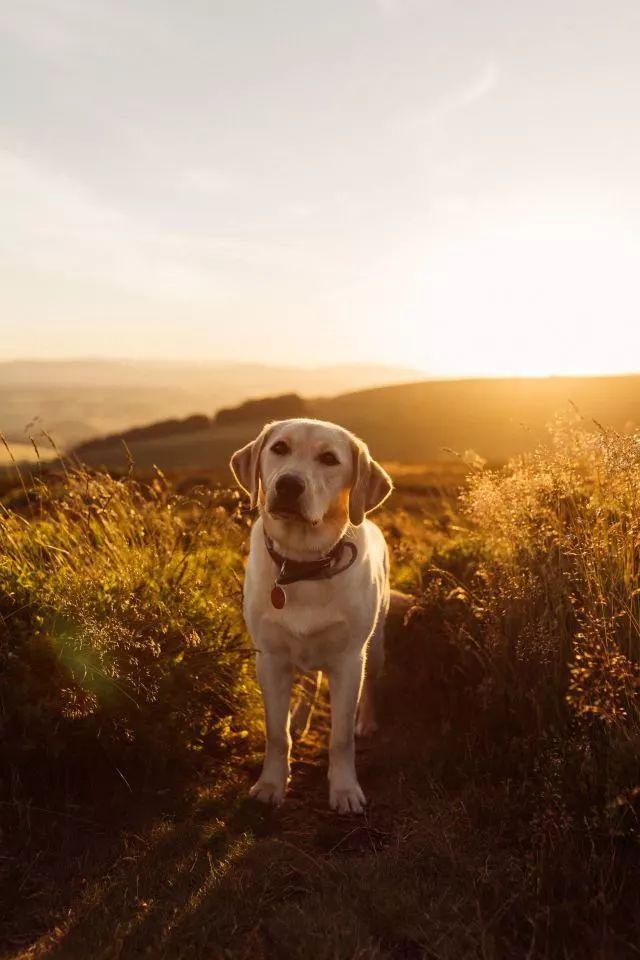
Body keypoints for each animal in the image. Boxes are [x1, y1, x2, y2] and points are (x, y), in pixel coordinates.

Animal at [228, 416, 392, 812]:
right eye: (279, 448)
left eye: (329, 459)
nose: (288, 484)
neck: (302, 564)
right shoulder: (270, 658)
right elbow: (276, 733)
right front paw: (271, 784)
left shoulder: (349, 660)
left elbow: (341, 737)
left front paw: (345, 790)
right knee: (309, 684)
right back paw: (300, 719)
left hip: (376, 645)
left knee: (371, 686)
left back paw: (367, 721)